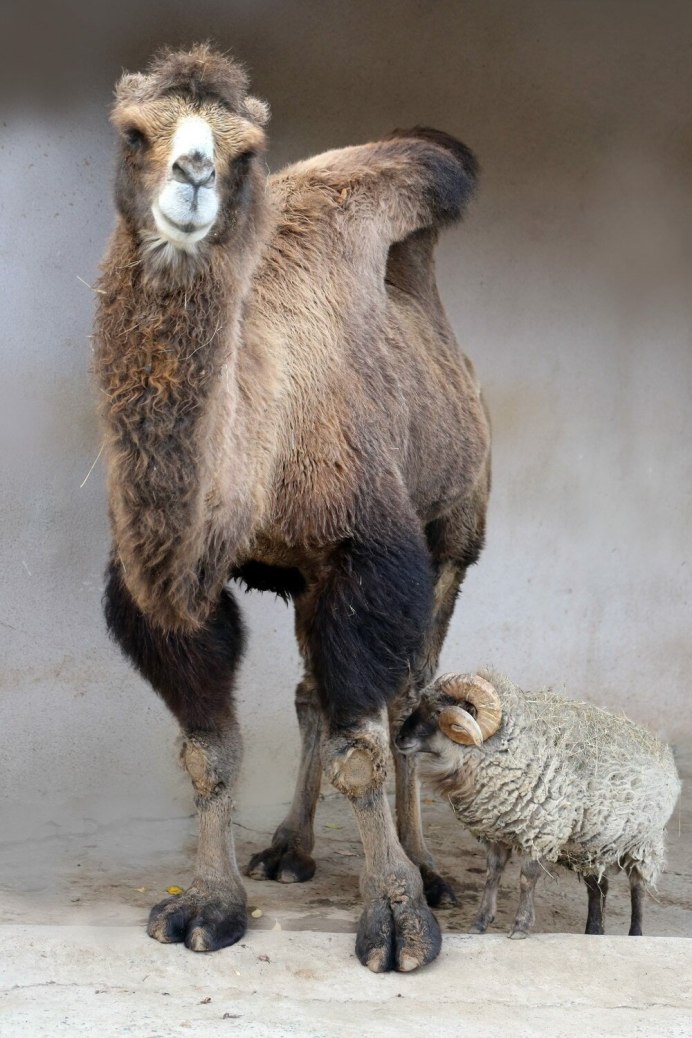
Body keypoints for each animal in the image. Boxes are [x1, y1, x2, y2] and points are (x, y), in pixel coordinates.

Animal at [95, 45, 490, 973]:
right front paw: (209, 904)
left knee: (409, 696)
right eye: (134, 133)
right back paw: (289, 849)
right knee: (314, 693)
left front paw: (397, 924)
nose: (195, 175)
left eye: (246, 152)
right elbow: (208, 749)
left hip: (454, 539)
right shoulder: (186, 584)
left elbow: (364, 748)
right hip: (306, 577)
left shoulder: (369, 558)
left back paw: (429, 873)